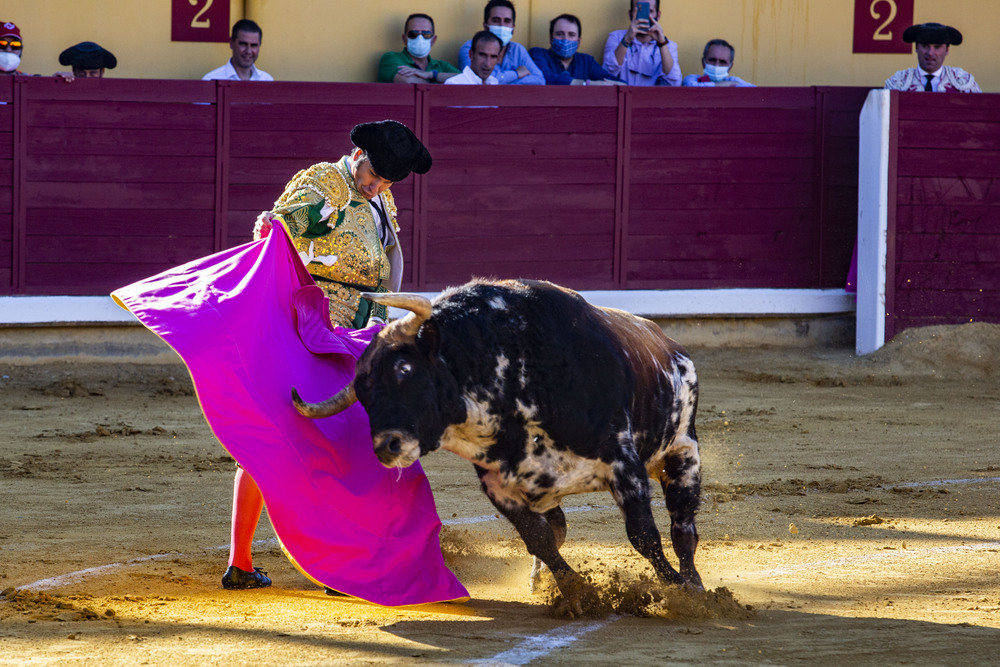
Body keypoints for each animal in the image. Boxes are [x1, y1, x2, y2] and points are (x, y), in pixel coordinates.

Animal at [292, 276, 704, 616]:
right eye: (362, 395)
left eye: (404, 370)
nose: (387, 446)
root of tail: (669, 344)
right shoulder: (500, 485)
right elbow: (539, 539)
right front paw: (575, 593)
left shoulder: (623, 461)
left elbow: (643, 533)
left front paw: (677, 590)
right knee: (559, 528)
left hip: (683, 454)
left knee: (683, 529)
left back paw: (696, 587)